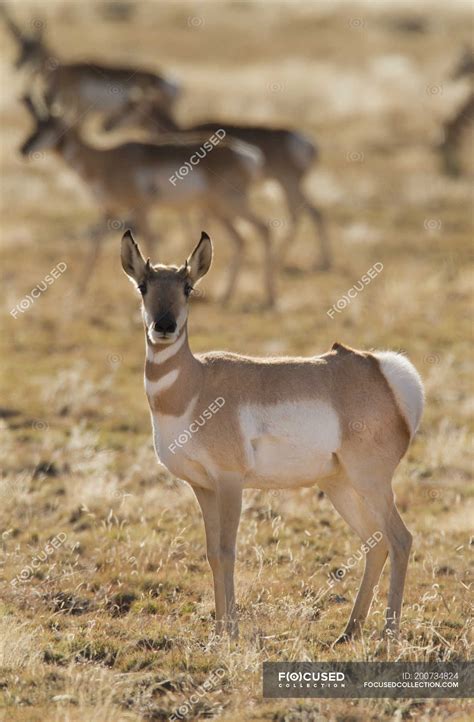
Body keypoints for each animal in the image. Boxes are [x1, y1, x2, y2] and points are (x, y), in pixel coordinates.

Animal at [1, 7, 179, 123]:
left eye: (35, 48)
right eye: (21, 47)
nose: (16, 64)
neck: (64, 71)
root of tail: (170, 80)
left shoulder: (77, 110)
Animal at [20, 97, 276, 304]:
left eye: (52, 126)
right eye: (35, 124)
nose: (23, 149)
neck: (106, 159)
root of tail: (246, 153)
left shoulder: (139, 209)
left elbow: (150, 241)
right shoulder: (108, 212)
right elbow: (95, 246)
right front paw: (77, 291)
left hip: (229, 205)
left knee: (263, 229)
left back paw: (268, 297)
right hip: (218, 210)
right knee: (241, 239)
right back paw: (227, 295)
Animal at [105, 98, 331, 271]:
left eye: (128, 107)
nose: (106, 125)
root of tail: (306, 142)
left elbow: (196, 218)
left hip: (287, 184)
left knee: (299, 215)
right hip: (290, 186)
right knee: (314, 213)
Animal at [121, 228, 424, 642]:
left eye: (187, 286)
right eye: (143, 285)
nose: (164, 325)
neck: (195, 385)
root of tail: (380, 369)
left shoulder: (230, 482)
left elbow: (228, 551)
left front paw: (231, 632)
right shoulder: (203, 487)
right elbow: (212, 554)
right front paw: (219, 631)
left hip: (371, 482)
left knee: (400, 539)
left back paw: (387, 636)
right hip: (339, 486)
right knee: (374, 543)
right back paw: (348, 632)